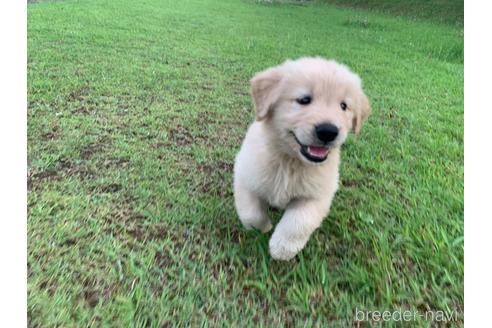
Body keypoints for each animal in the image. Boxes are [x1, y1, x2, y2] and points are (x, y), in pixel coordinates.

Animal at [234, 57, 368, 260]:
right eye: (304, 100)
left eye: (344, 106)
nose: (328, 131)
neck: (291, 161)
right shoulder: (245, 177)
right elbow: (251, 214)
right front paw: (264, 228)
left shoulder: (318, 195)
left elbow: (299, 222)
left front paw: (282, 248)